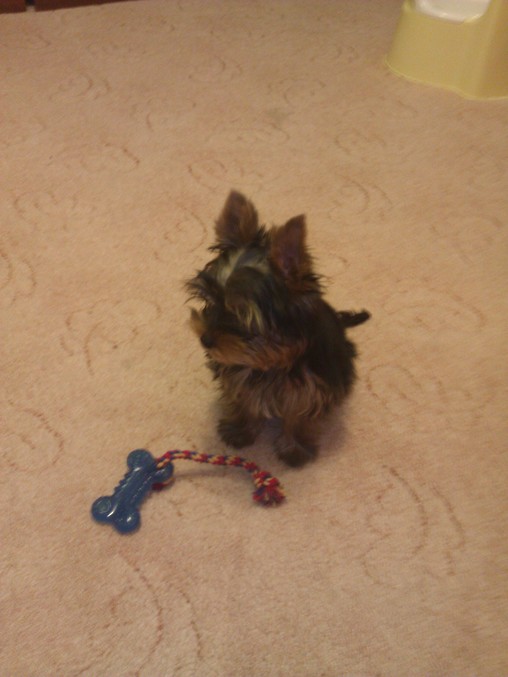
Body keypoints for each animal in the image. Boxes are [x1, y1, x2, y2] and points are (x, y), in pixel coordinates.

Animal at [187, 190, 370, 466]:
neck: (269, 360)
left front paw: (295, 448)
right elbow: (244, 397)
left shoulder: (311, 385)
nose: (205, 339)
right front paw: (240, 429)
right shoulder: (238, 374)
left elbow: (300, 413)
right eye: (209, 300)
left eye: (241, 313)